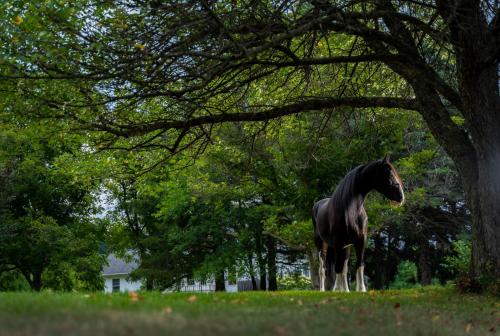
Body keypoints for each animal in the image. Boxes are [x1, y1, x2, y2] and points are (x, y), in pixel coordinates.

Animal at [314, 156, 404, 292]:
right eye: (388, 173)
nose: (401, 196)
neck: (351, 210)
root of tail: (317, 205)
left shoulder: (361, 240)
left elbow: (359, 265)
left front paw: (361, 289)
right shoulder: (338, 243)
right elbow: (338, 268)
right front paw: (339, 290)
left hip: (346, 247)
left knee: (343, 268)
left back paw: (345, 290)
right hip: (322, 246)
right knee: (323, 269)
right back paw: (324, 290)